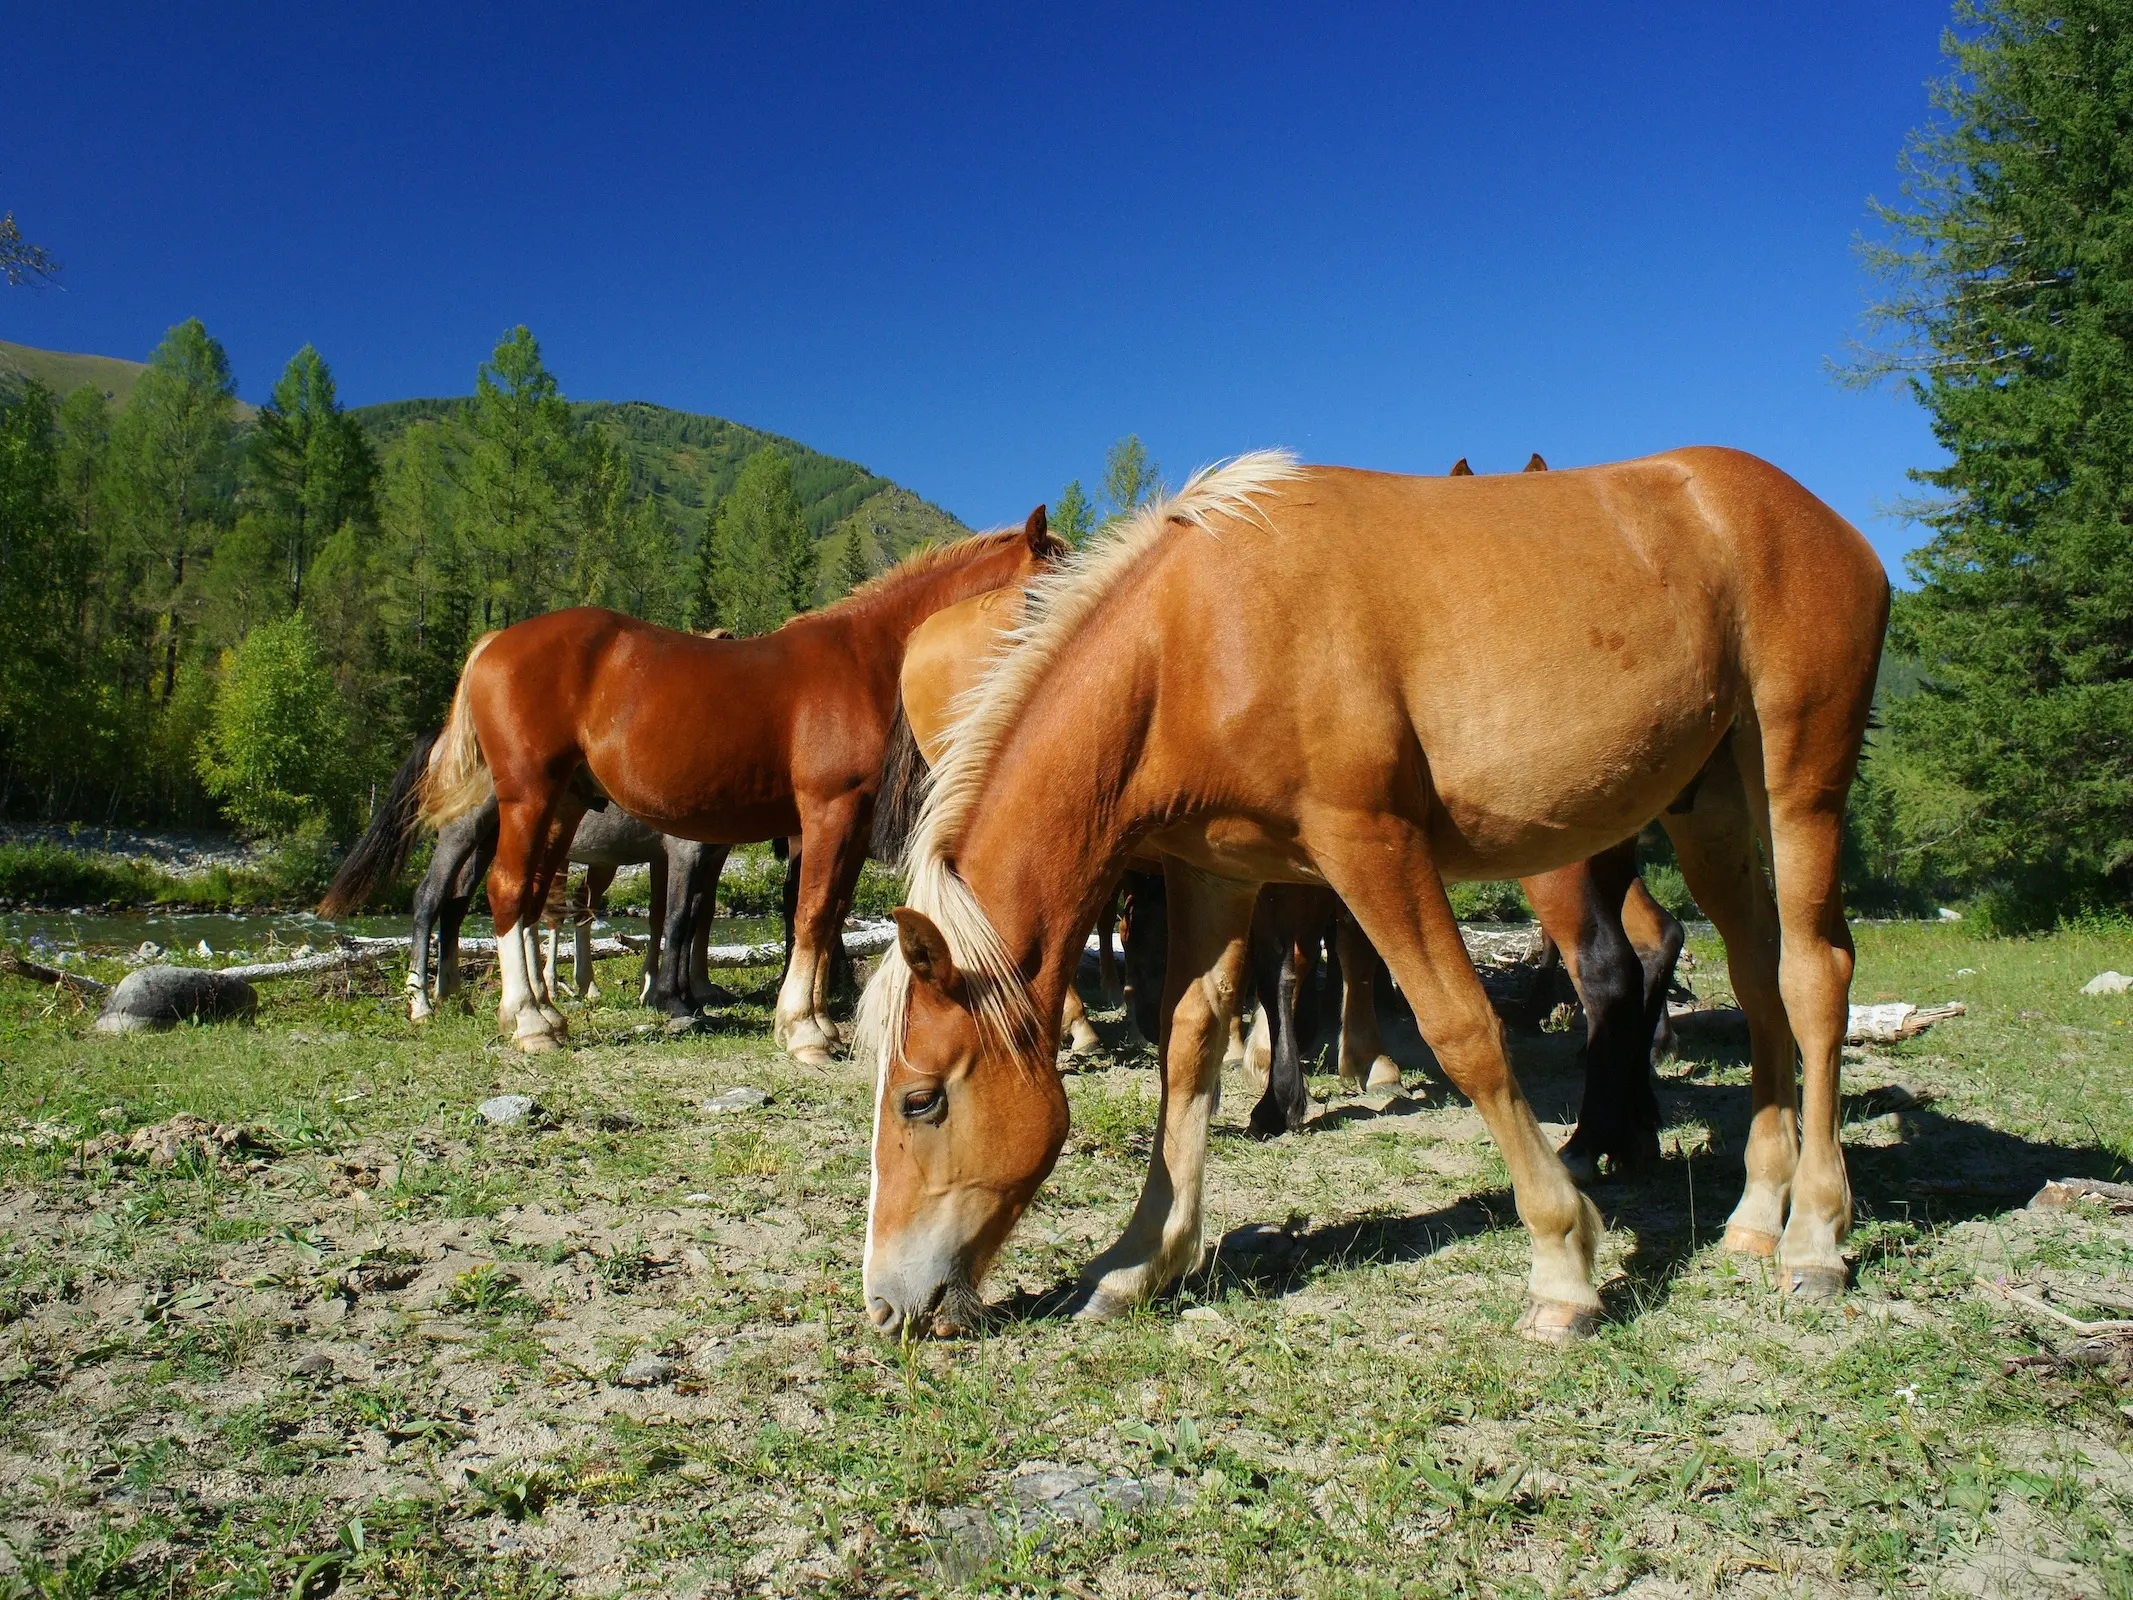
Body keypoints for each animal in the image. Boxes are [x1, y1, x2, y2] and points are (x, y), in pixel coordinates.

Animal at [418, 514, 1066, 1066]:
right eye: (1049, 586)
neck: (866, 660)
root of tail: (495, 642)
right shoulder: (829, 812)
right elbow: (811, 912)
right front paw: (803, 1031)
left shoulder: (847, 826)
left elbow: (829, 915)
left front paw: (817, 1021)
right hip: (527, 798)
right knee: (503, 891)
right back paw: (526, 1021)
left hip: (564, 805)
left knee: (529, 898)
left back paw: (543, 1013)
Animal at [857, 448, 1894, 1339]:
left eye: (920, 1102)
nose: (885, 1304)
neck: (1199, 632)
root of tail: (1814, 515)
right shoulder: (1218, 873)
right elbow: (1187, 1047)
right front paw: (1142, 1259)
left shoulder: (1370, 847)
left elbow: (1462, 1030)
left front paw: (1562, 1263)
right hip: (1708, 808)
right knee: (1757, 981)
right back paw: (1756, 1210)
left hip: (1797, 783)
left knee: (1813, 977)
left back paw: (1814, 1237)